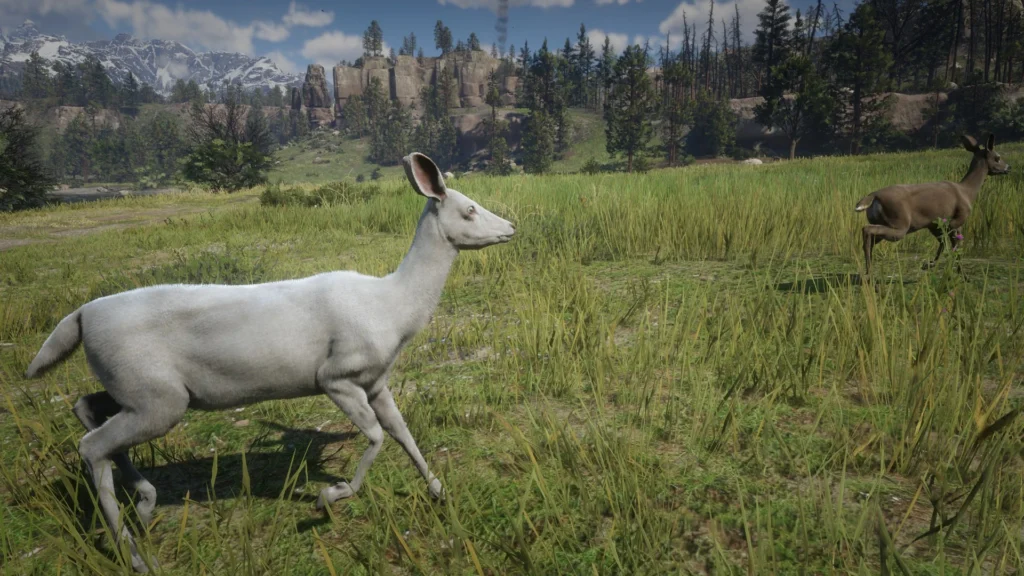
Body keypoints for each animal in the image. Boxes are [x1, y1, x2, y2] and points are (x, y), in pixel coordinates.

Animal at [23, 152, 516, 573]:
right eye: (470, 210)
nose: (511, 226)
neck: (391, 306)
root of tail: (81, 315)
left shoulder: (376, 380)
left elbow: (402, 432)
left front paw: (439, 491)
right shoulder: (335, 375)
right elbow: (376, 435)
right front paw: (327, 497)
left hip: (141, 390)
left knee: (87, 409)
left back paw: (144, 503)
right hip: (157, 397)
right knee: (92, 445)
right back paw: (137, 556)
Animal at [854, 134, 1011, 277]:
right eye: (997, 157)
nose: (1008, 167)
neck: (968, 191)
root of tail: (873, 195)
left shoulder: (934, 224)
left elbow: (943, 244)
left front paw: (929, 265)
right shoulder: (957, 220)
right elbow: (955, 248)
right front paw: (962, 275)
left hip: (883, 221)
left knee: (870, 238)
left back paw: (867, 271)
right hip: (899, 223)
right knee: (867, 229)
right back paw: (869, 272)